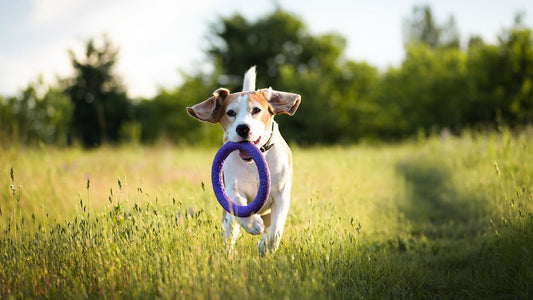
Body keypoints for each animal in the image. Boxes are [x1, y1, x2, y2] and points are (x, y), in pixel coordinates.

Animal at [186, 66, 300, 255]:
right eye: (230, 113)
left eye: (256, 110)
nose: (243, 128)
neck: (253, 163)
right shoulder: (232, 189)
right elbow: (238, 204)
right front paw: (253, 224)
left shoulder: (282, 195)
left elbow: (276, 230)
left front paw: (266, 246)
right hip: (227, 220)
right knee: (230, 232)